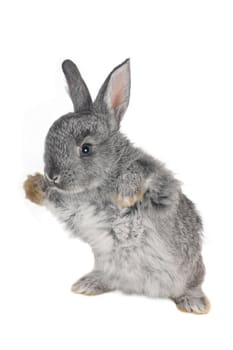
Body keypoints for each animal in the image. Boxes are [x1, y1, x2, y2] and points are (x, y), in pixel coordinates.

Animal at [24, 58, 211, 314]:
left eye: (86, 148)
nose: (52, 176)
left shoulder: (159, 181)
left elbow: (140, 172)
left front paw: (125, 195)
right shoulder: (75, 209)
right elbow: (59, 202)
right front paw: (32, 186)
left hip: (190, 268)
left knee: (193, 283)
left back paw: (194, 304)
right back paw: (88, 284)